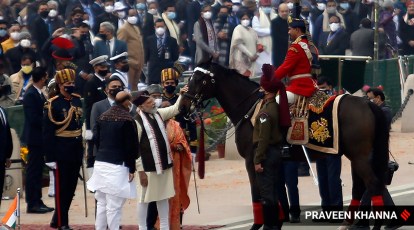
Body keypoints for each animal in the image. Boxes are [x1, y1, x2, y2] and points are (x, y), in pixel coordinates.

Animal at [179, 60, 392, 229]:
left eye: (199, 79)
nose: (182, 106)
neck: (251, 110)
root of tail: (367, 103)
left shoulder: (252, 160)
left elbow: (258, 193)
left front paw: (259, 224)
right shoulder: (273, 161)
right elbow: (274, 193)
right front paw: (276, 222)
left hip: (359, 156)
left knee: (372, 184)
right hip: (358, 156)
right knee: (365, 186)